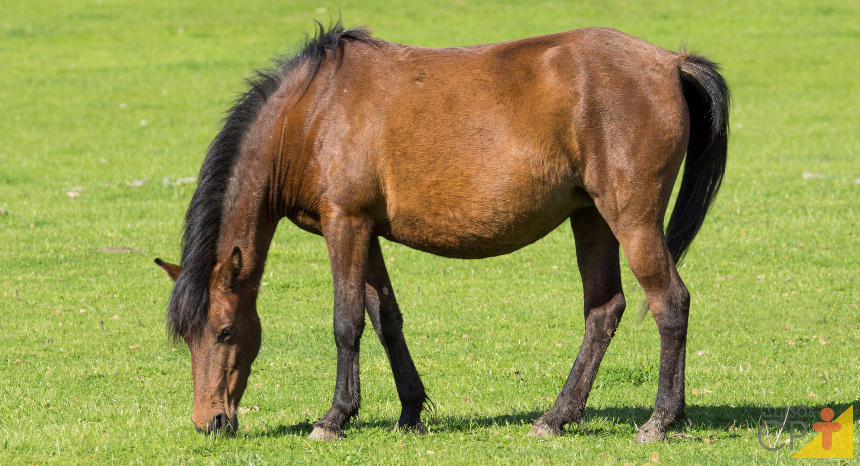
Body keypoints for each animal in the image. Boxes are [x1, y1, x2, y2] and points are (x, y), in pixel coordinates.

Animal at [153, 20, 724, 444]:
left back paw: (659, 420)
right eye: (188, 337)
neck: (312, 112)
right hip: (592, 219)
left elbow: (346, 322)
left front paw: (335, 418)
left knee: (670, 303)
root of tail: (668, 62)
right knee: (604, 311)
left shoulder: (346, 225)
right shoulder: (365, 232)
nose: (209, 423)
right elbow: (385, 318)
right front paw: (409, 412)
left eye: (225, 332)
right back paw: (557, 417)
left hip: (631, 218)